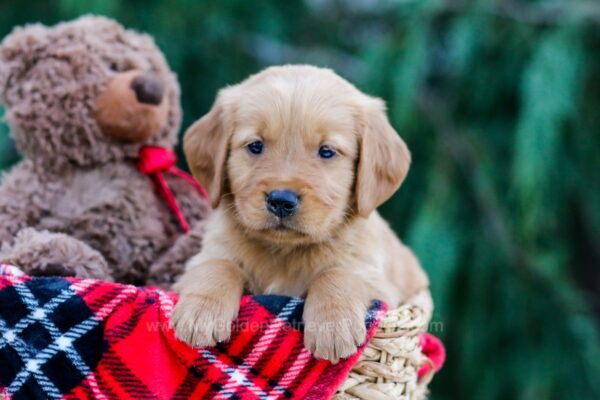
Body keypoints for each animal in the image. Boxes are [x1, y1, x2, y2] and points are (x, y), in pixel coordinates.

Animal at [171, 65, 428, 362]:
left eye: (327, 151)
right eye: (255, 146)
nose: (281, 201)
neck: (285, 253)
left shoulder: (379, 283)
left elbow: (337, 273)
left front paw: (333, 326)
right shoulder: (202, 258)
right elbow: (218, 265)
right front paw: (200, 313)